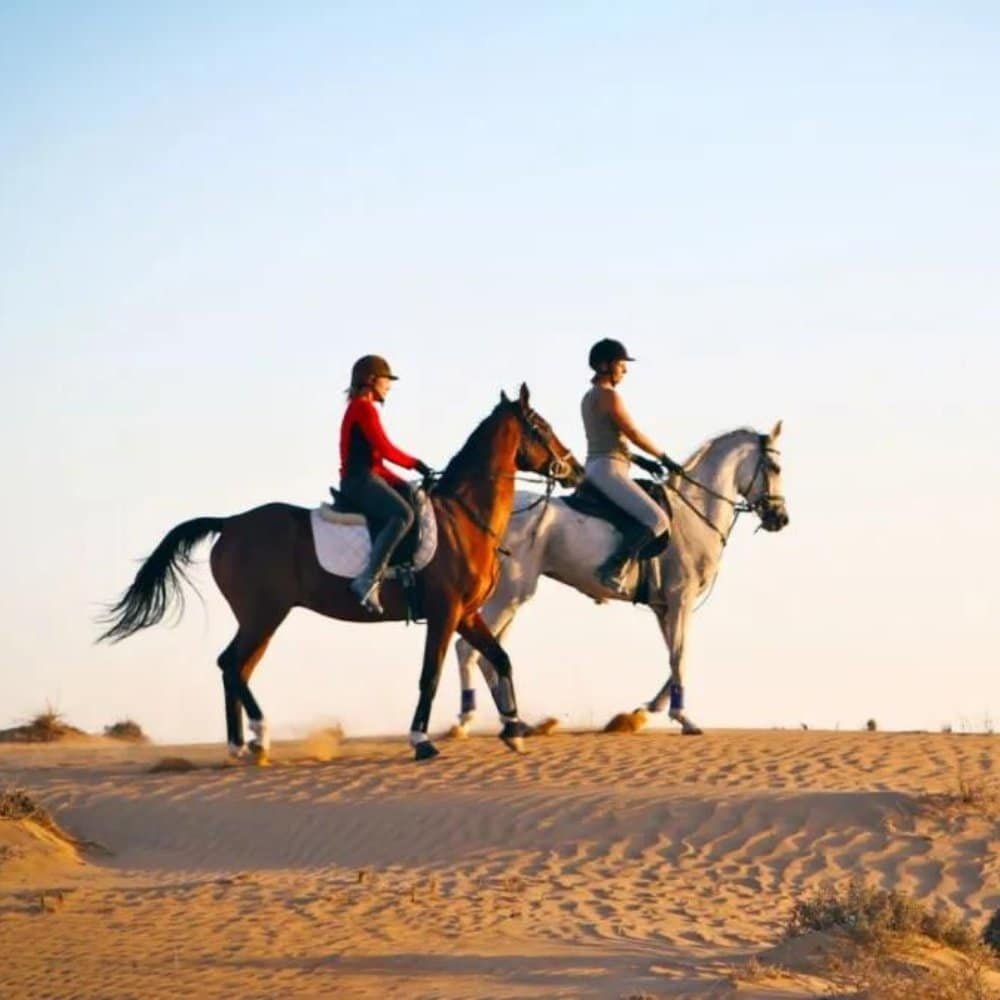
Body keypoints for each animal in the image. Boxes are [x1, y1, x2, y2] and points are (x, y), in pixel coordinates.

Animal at [97, 386, 584, 760]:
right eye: (542, 426)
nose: (575, 469)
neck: (464, 516)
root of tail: (231, 522)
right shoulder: (445, 614)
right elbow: (430, 675)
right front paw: (422, 740)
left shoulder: (465, 613)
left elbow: (500, 658)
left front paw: (514, 729)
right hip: (263, 614)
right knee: (232, 665)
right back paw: (258, 736)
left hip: (262, 619)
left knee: (237, 667)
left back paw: (246, 744)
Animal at [454, 420, 788, 736]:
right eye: (775, 467)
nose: (780, 518)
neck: (692, 512)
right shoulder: (680, 598)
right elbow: (681, 654)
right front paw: (682, 718)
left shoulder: (663, 607)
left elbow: (673, 655)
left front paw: (647, 709)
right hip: (510, 596)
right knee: (468, 650)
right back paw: (466, 722)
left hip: (512, 598)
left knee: (488, 655)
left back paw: (516, 723)